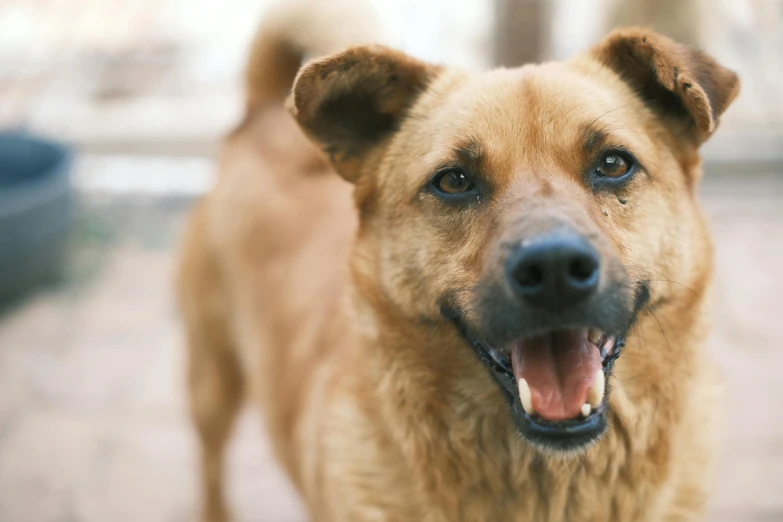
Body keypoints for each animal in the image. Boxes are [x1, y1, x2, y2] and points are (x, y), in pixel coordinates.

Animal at [178, 2, 740, 516]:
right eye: (453, 181)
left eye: (613, 164)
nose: (554, 271)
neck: (549, 487)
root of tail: (260, 115)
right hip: (211, 380)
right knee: (209, 461)